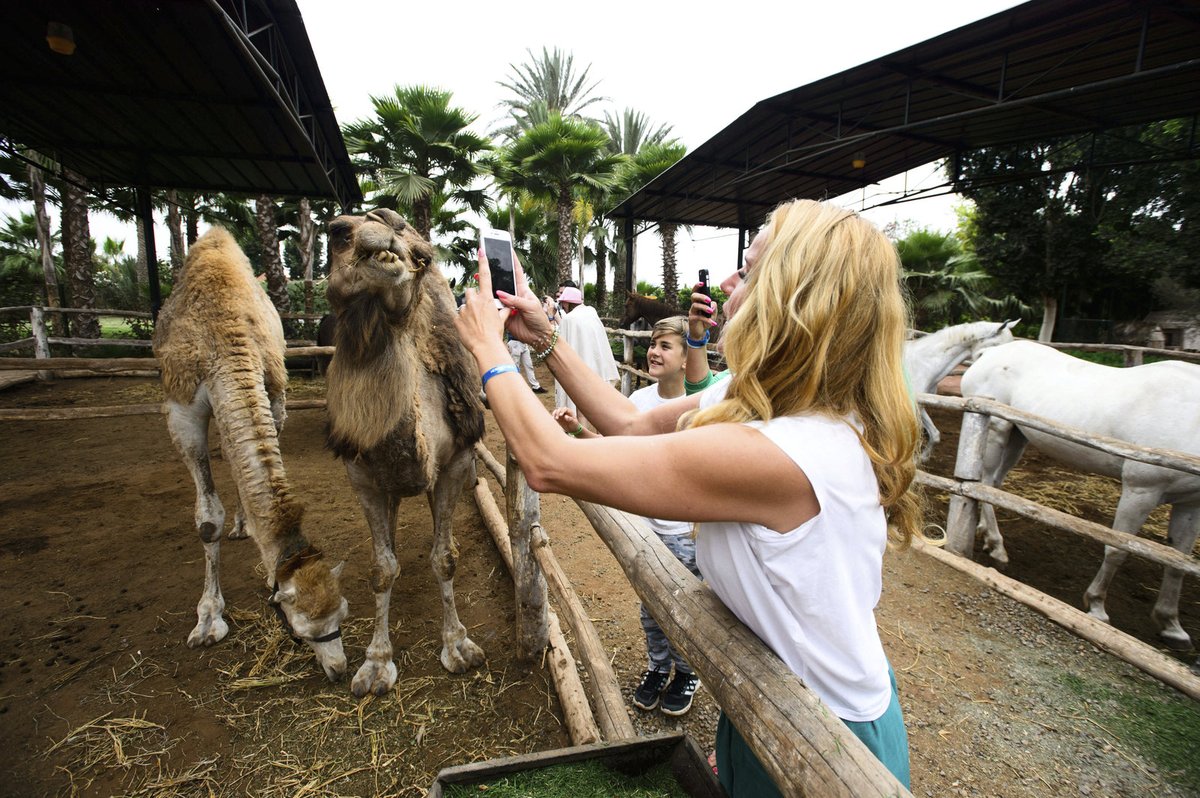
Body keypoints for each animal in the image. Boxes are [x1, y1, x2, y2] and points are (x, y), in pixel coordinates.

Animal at [152, 226, 350, 681]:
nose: (339, 668)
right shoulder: (181, 409)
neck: (224, 341)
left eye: (342, 613)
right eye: (303, 628)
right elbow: (207, 521)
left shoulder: (270, 389)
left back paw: (244, 523)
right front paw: (208, 618)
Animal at [324, 206, 487, 696]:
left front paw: (459, 646)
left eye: (421, 257)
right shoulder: (361, 475)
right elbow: (381, 568)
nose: (383, 242)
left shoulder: (455, 461)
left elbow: (444, 560)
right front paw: (376, 663)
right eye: (336, 234)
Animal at [960, 340, 1200, 648]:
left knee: (993, 486)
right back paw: (997, 545)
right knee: (987, 481)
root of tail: (990, 353)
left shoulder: (1190, 505)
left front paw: (1171, 624)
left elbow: (1177, 561)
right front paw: (1096, 606)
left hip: (1018, 436)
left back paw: (988, 536)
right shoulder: (1140, 489)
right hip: (996, 430)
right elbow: (1118, 548)